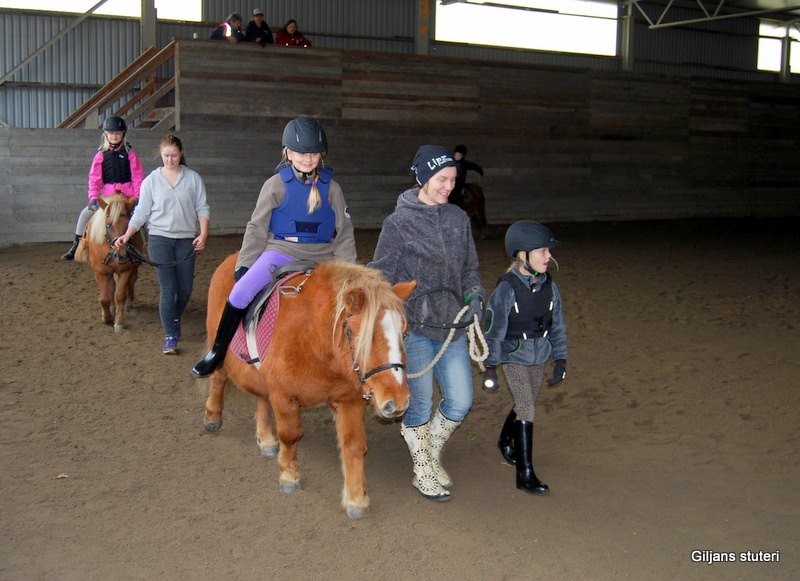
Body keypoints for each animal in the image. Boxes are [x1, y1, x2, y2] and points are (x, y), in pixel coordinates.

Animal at [200, 256, 416, 520]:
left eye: (404, 333)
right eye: (361, 335)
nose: (399, 401)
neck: (315, 339)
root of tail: (231, 259)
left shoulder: (349, 399)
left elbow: (354, 445)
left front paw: (356, 498)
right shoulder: (283, 396)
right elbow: (290, 436)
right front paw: (289, 476)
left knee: (261, 397)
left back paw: (266, 439)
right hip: (219, 350)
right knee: (218, 379)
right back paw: (212, 417)